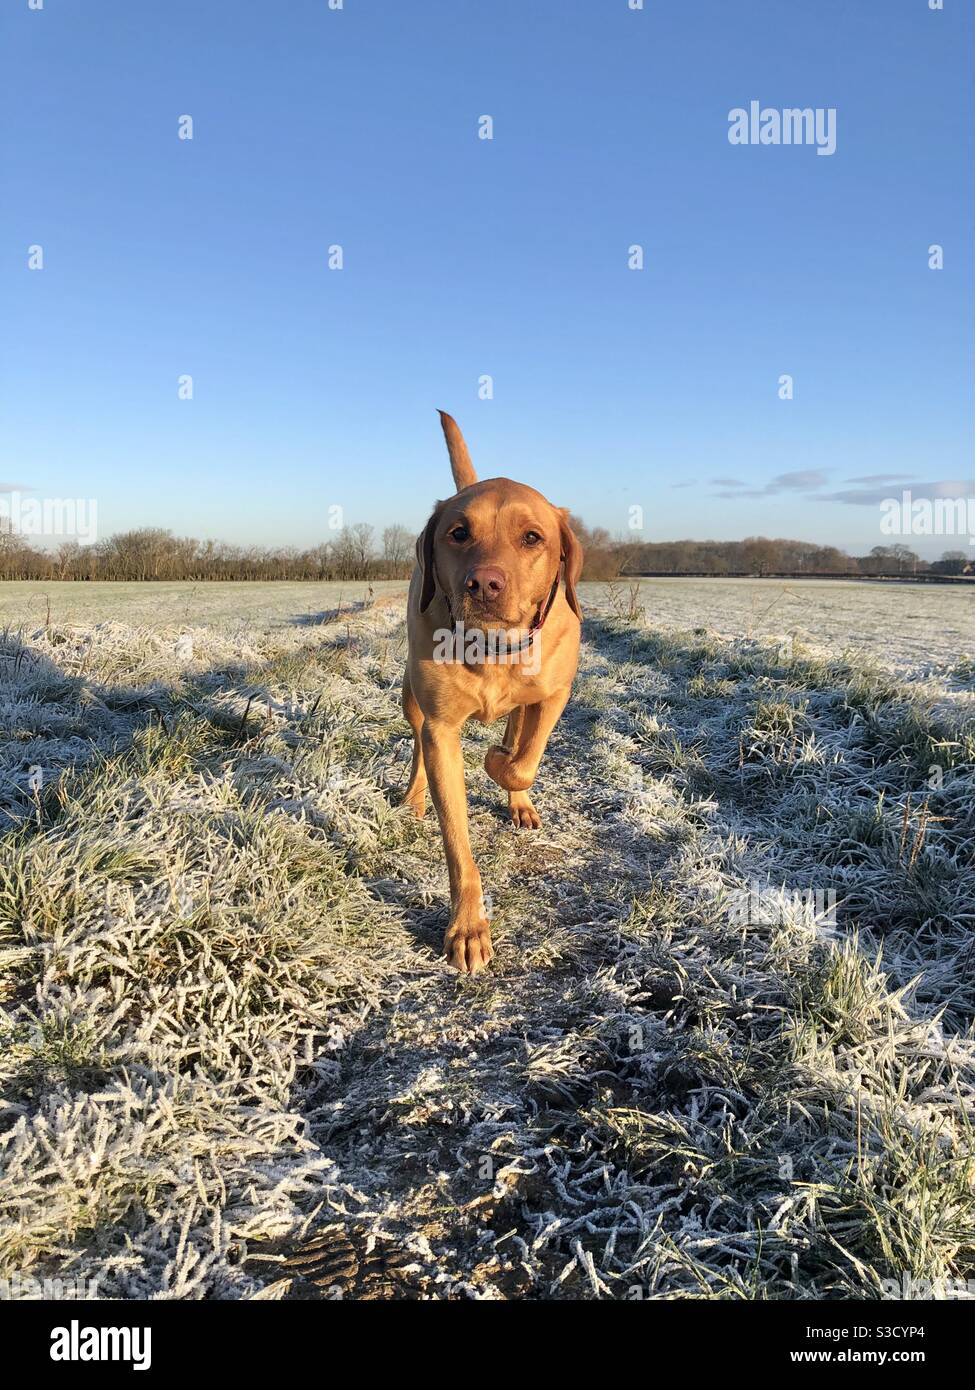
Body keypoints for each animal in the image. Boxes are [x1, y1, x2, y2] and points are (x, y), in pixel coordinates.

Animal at [400, 411, 581, 973]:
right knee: (415, 744)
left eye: (532, 537)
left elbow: (524, 758)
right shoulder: (441, 729)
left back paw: (516, 794)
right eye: (459, 533)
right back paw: (413, 797)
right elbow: (457, 839)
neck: (492, 648)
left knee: (519, 735)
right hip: (411, 698)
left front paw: (502, 766)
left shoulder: (555, 692)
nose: (484, 583)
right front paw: (468, 928)